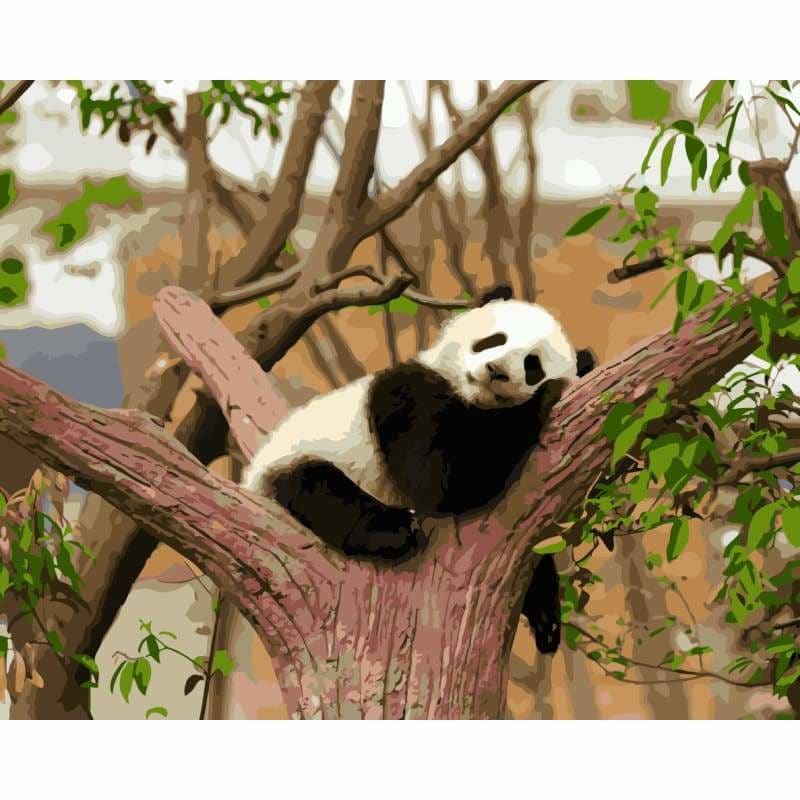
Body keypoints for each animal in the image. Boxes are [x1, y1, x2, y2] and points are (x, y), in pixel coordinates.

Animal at [243, 285, 595, 653]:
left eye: (532, 365)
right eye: (494, 339)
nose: (495, 369)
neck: (472, 400)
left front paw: (546, 615)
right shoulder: (407, 396)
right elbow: (438, 482)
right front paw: (545, 397)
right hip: (294, 460)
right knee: (323, 492)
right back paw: (394, 530)